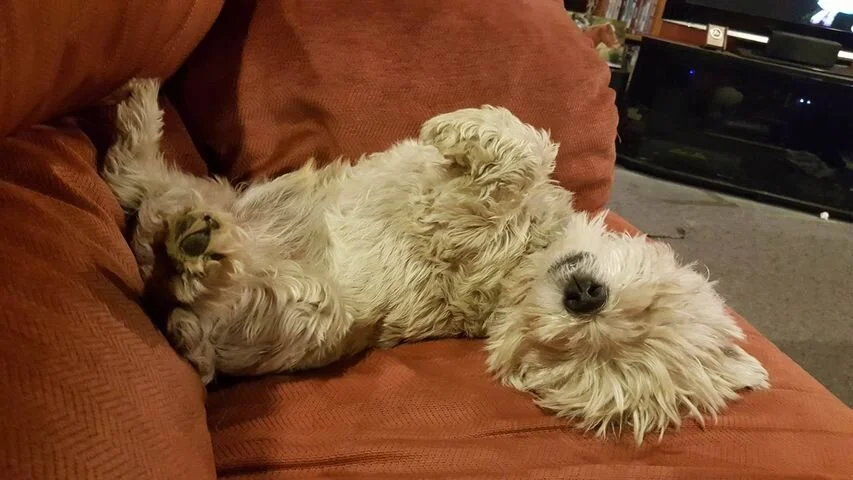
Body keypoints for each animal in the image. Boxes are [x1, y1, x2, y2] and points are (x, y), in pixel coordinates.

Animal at [102, 79, 769, 443]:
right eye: (650, 303)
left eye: (579, 356)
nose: (585, 299)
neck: (523, 266)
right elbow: (524, 149)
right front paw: (460, 128)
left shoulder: (461, 233)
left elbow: (512, 170)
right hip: (206, 195)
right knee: (138, 178)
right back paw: (144, 119)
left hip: (304, 313)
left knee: (191, 295)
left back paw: (193, 272)